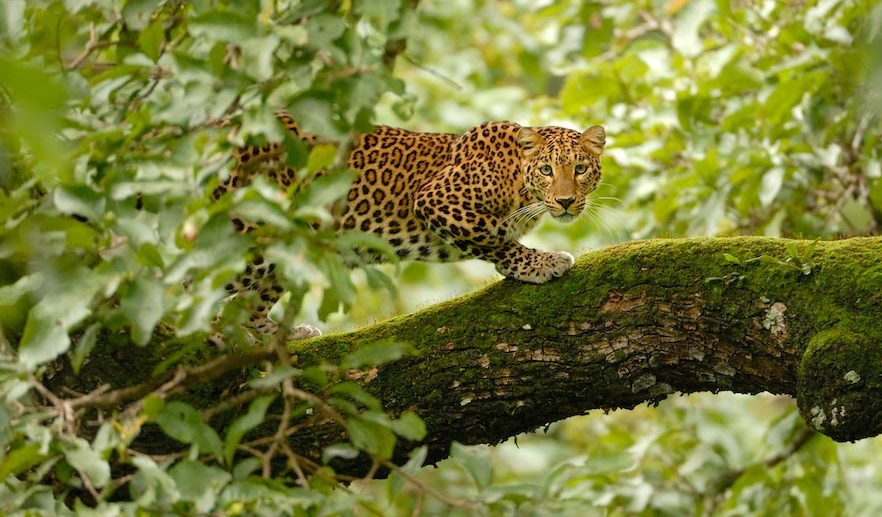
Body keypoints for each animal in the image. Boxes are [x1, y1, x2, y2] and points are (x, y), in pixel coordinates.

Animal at [214, 113, 606, 339]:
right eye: (547, 170)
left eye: (581, 168)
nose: (566, 201)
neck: (518, 181)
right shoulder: (436, 201)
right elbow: (494, 241)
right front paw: (541, 263)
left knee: (248, 303)